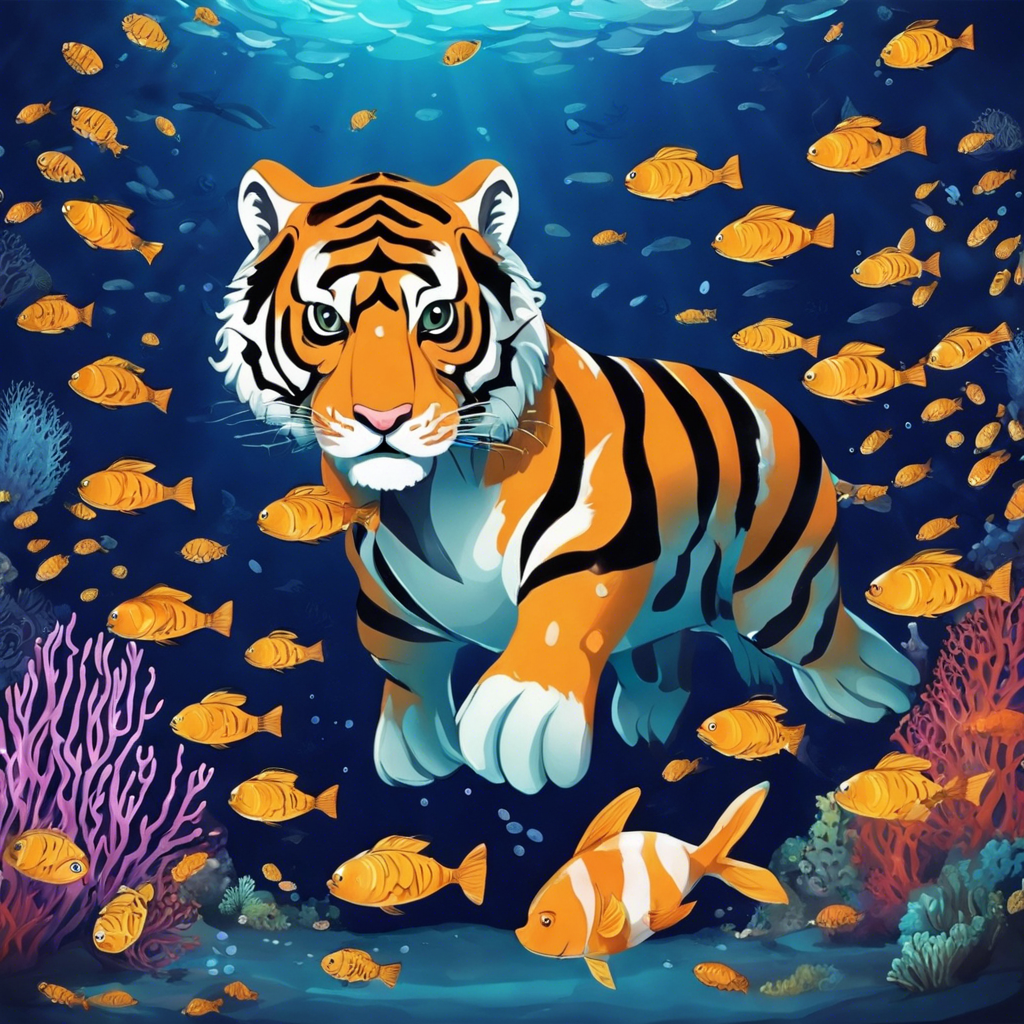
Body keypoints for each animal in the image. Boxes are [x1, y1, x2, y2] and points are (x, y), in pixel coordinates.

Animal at [213, 158, 919, 795]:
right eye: (326, 320)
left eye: (436, 318)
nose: (382, 418)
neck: (427, 496)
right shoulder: (382, 591)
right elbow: (398, 654)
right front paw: (415, 751)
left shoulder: (599, 539)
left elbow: (562, 610)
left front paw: (519, 715)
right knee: (664, 653)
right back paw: (648, 717)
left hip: (781, 588)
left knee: (818, 631)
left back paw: (879, 689)